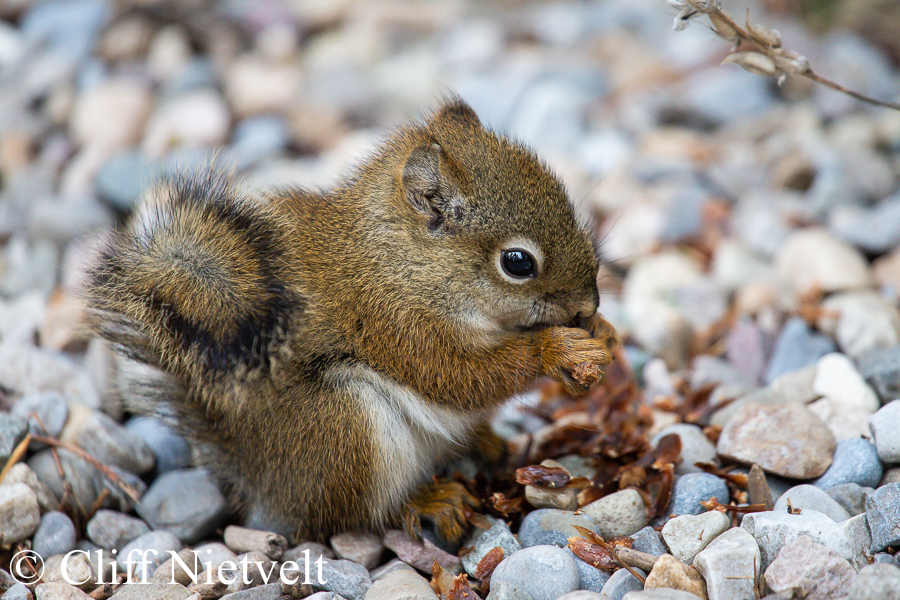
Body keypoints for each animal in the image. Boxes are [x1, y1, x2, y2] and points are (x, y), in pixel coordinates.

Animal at [86, 99, 620, 544]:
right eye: (517, 262)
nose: (588, 305)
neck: (403, 261)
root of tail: (256, 473)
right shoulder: (396, 323)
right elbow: (461, 377)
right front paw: (556, 349)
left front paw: (604, 335)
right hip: (346, 428)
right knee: (355, 518)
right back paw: (429, 500)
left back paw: (489, 444)